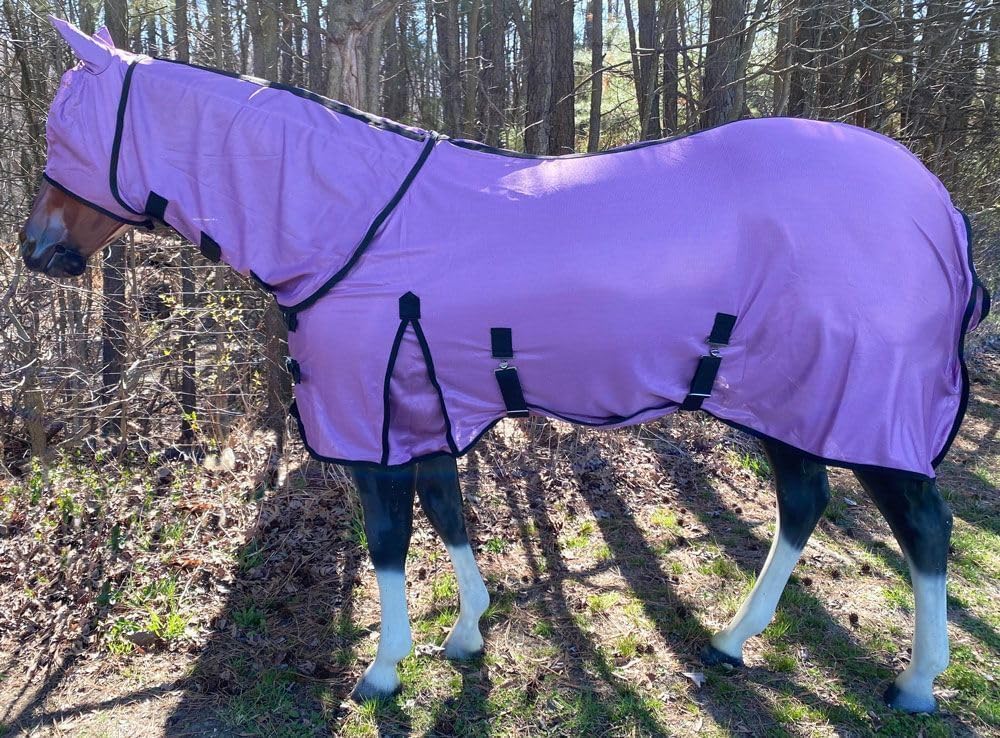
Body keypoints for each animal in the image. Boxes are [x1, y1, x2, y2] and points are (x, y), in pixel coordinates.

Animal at [19, 17, 989, 713]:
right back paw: (730, 642)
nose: (36, 250)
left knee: (925, 532)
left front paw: (384, 670)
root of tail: (934, 205)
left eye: (63, 134)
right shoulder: (420, 406)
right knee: (804, 504)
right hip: (787, 400)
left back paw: (916, 683)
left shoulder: (370, 420)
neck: (348, 221)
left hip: (862, 406)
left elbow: (388, 541)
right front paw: (468, 633)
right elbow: (447, 515)